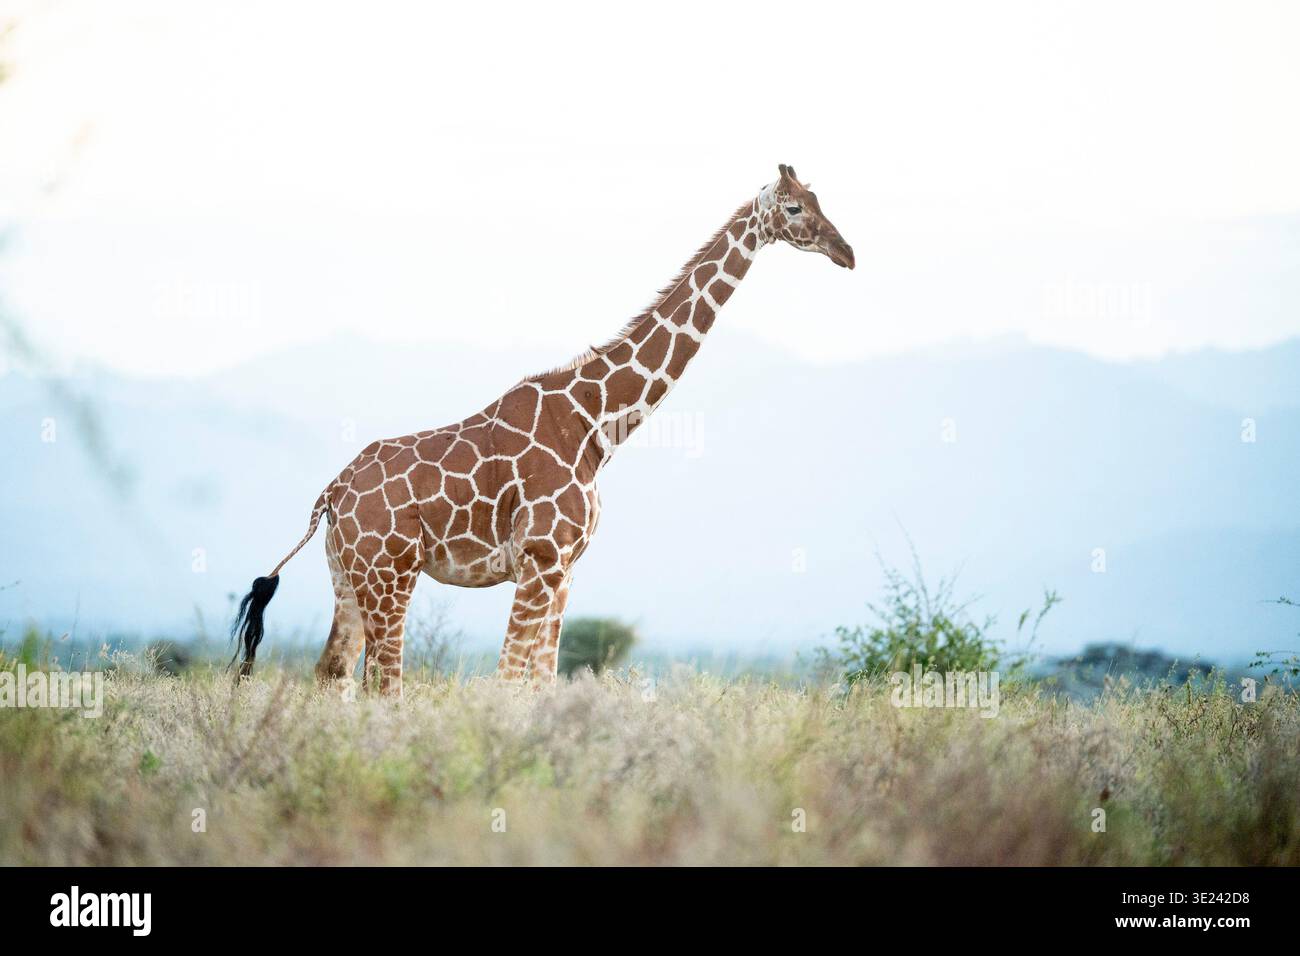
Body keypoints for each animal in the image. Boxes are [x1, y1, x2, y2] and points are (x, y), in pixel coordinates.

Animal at [231, 164, 854, 695]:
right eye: (795, 208)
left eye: (821, 200)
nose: (846, 252)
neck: (595, 424)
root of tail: (331, 493)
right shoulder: (539, 558)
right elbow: (509, 683)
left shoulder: (565, 570)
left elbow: (542, 684)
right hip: (391, 575)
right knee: (384, 685)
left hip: (348, 575)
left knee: (331, 674)